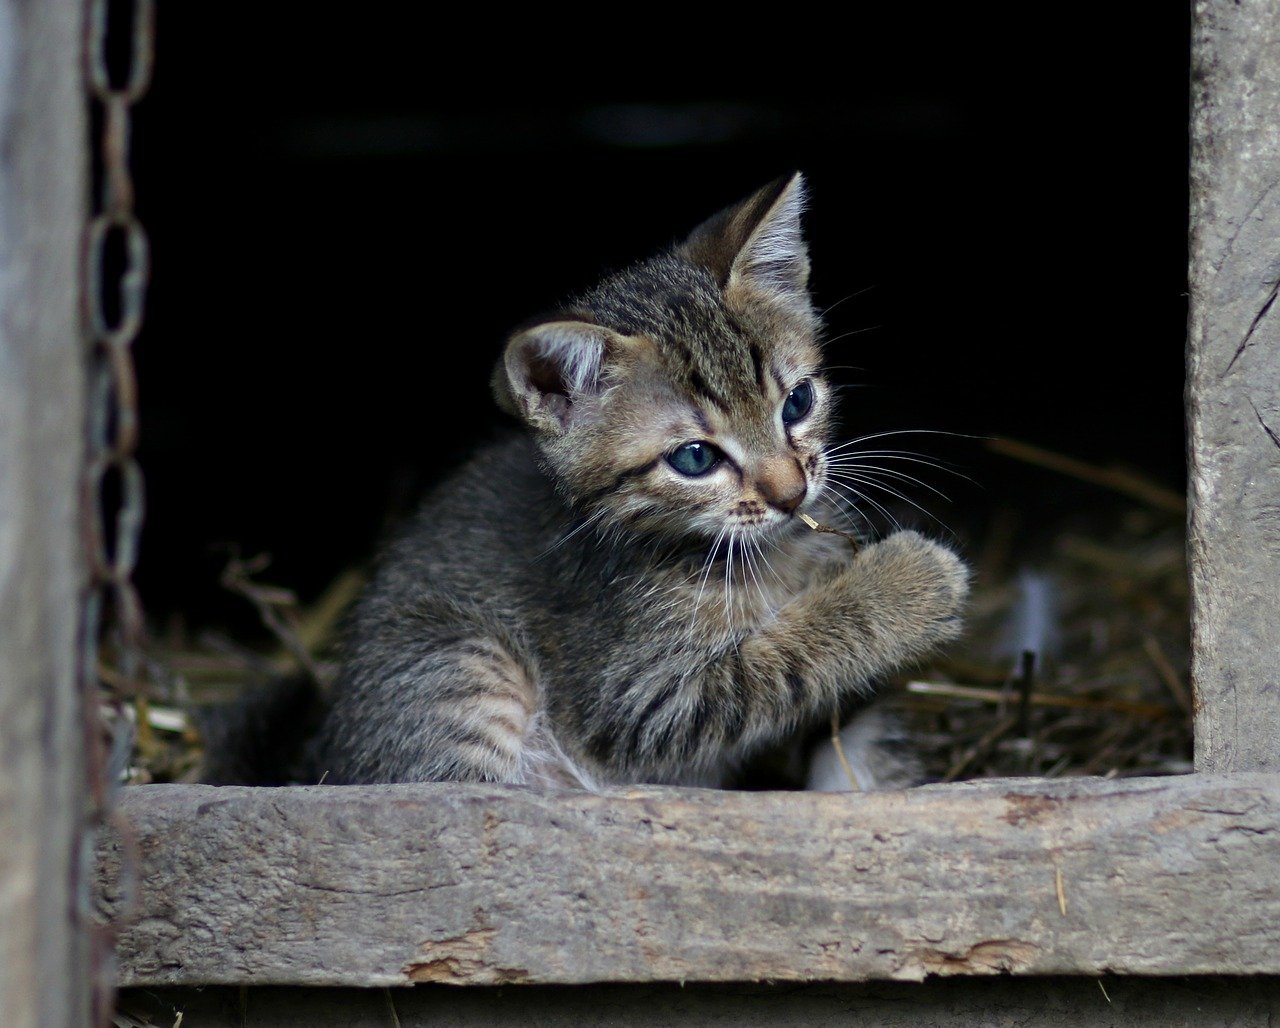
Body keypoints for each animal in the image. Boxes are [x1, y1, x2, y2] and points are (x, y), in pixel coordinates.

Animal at [312, 176, 967, 788]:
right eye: (695, 459)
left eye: (797, 403)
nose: (791, 494)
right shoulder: (638, 699)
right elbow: (771, 664)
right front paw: (906, 584)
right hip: (461, 661)